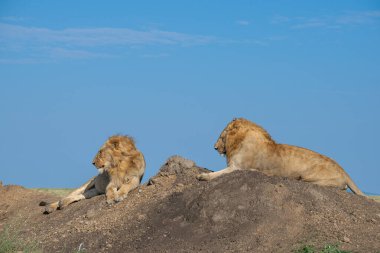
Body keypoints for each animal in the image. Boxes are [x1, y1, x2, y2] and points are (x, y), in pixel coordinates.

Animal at [197, 117, 364, 197]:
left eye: (221, 136)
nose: (214, 147)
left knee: (341, 187)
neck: (238, 141)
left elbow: (218, 173)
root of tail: (342, 169)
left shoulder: (237, 167)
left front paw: (202, 176)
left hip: (310, 177)